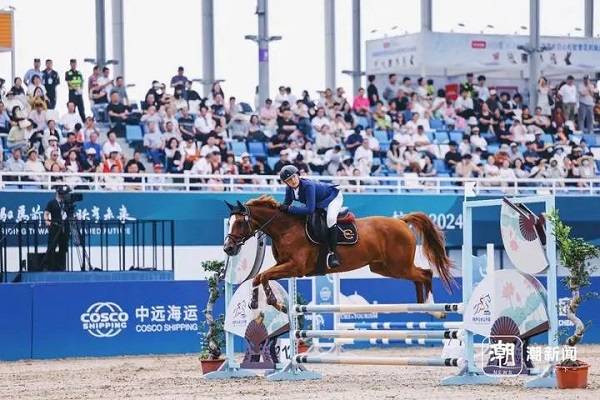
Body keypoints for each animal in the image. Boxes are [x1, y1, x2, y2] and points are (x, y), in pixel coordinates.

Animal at [224, 195, 454, 318]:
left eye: (240, 222)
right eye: (230, 222)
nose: (228, 248)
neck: (286, 228)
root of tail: (400, 221)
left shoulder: (295, 267)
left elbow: (264, 276)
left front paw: (275, 303)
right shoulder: (285, 265)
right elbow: (259, 277)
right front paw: (256, 305)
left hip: (398, 265)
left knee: (425, 273)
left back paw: (435, 309)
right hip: (384, 267)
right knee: (418, 277)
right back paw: (425, 307)